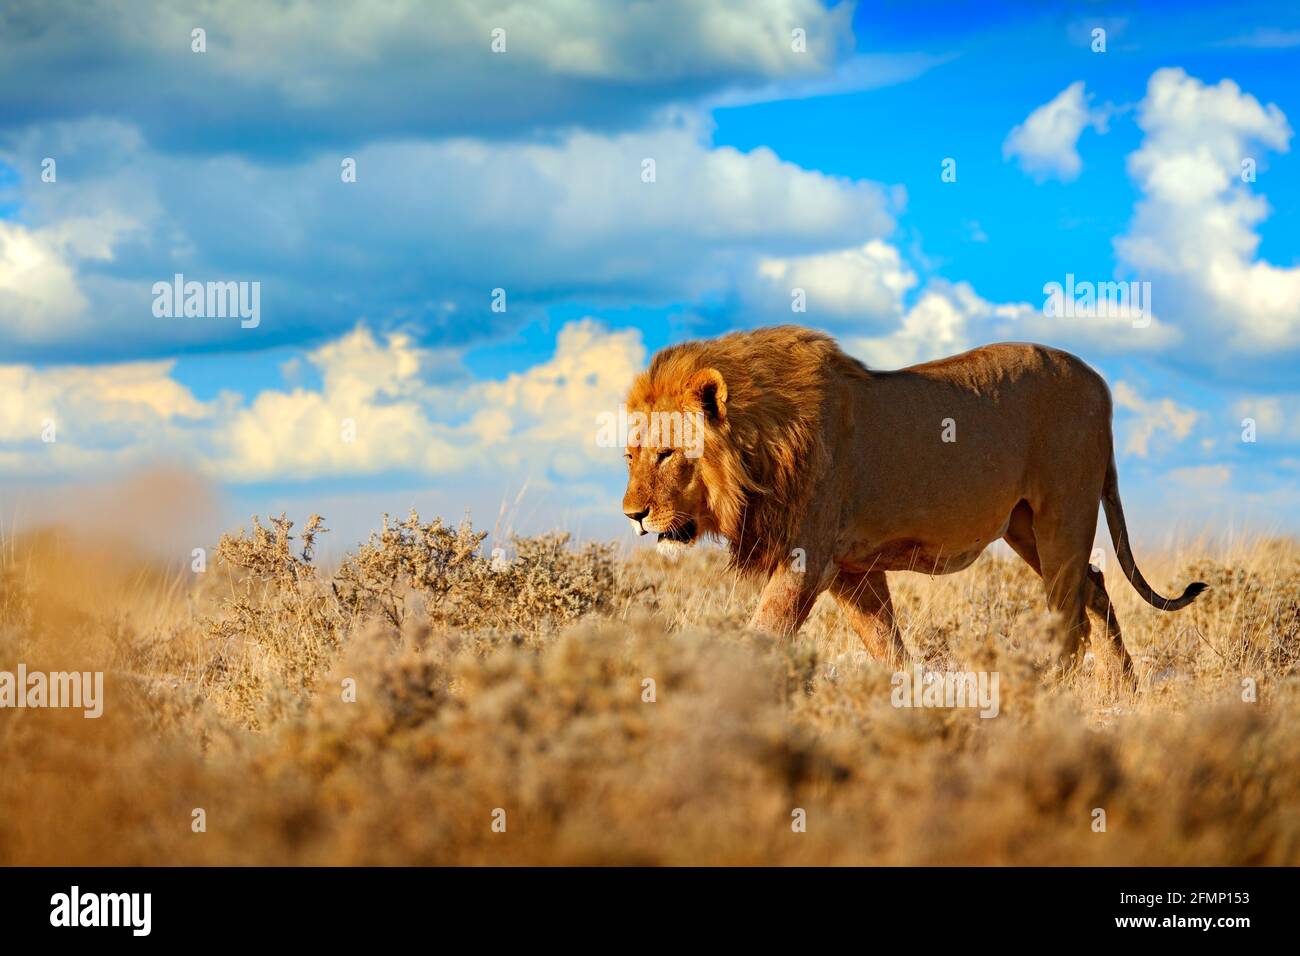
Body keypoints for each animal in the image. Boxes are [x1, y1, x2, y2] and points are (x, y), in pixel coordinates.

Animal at [620, 325, 1207, 680]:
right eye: (630, 455)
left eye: (667, 454)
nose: (633, 516)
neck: (764, 447)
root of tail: (1102, 384)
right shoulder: (851, 568)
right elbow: (885, 642)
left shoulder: (807, 559)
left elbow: (766, 629)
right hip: (1025, 528)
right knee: (1096, 586)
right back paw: (1122, 689)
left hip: (1063, 514)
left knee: (1070, 615)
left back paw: (1050, 695)